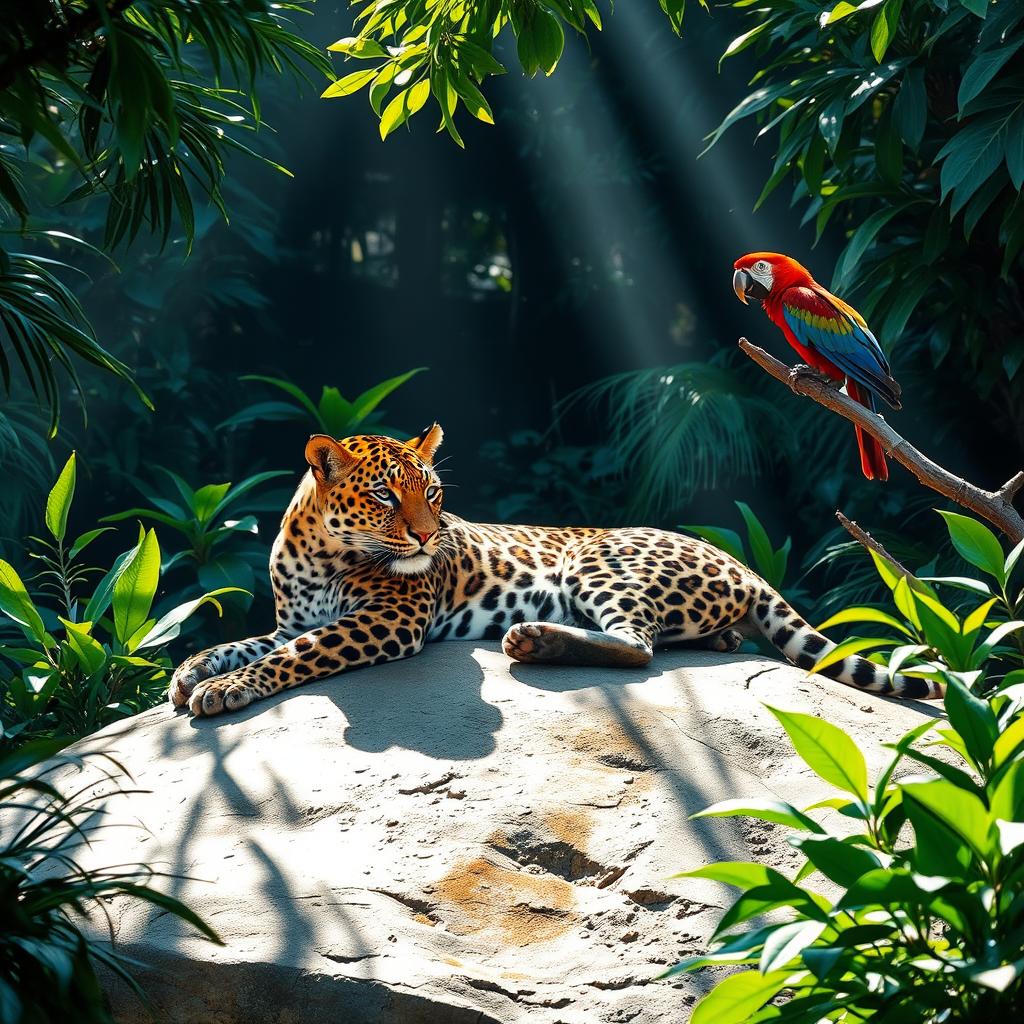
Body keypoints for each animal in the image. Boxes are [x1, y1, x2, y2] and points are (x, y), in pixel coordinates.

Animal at [169, 424, 942, 717]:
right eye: (387, 495)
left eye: (435, 493)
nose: (428, 535)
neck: (319, 548)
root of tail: (742, 564)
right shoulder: (289, 620)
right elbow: (238, 642)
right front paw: (192, 673)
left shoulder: (386, 620)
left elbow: (296, 656)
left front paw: (229, 689)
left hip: (595, 561)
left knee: (638, 647)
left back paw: (534, 640)